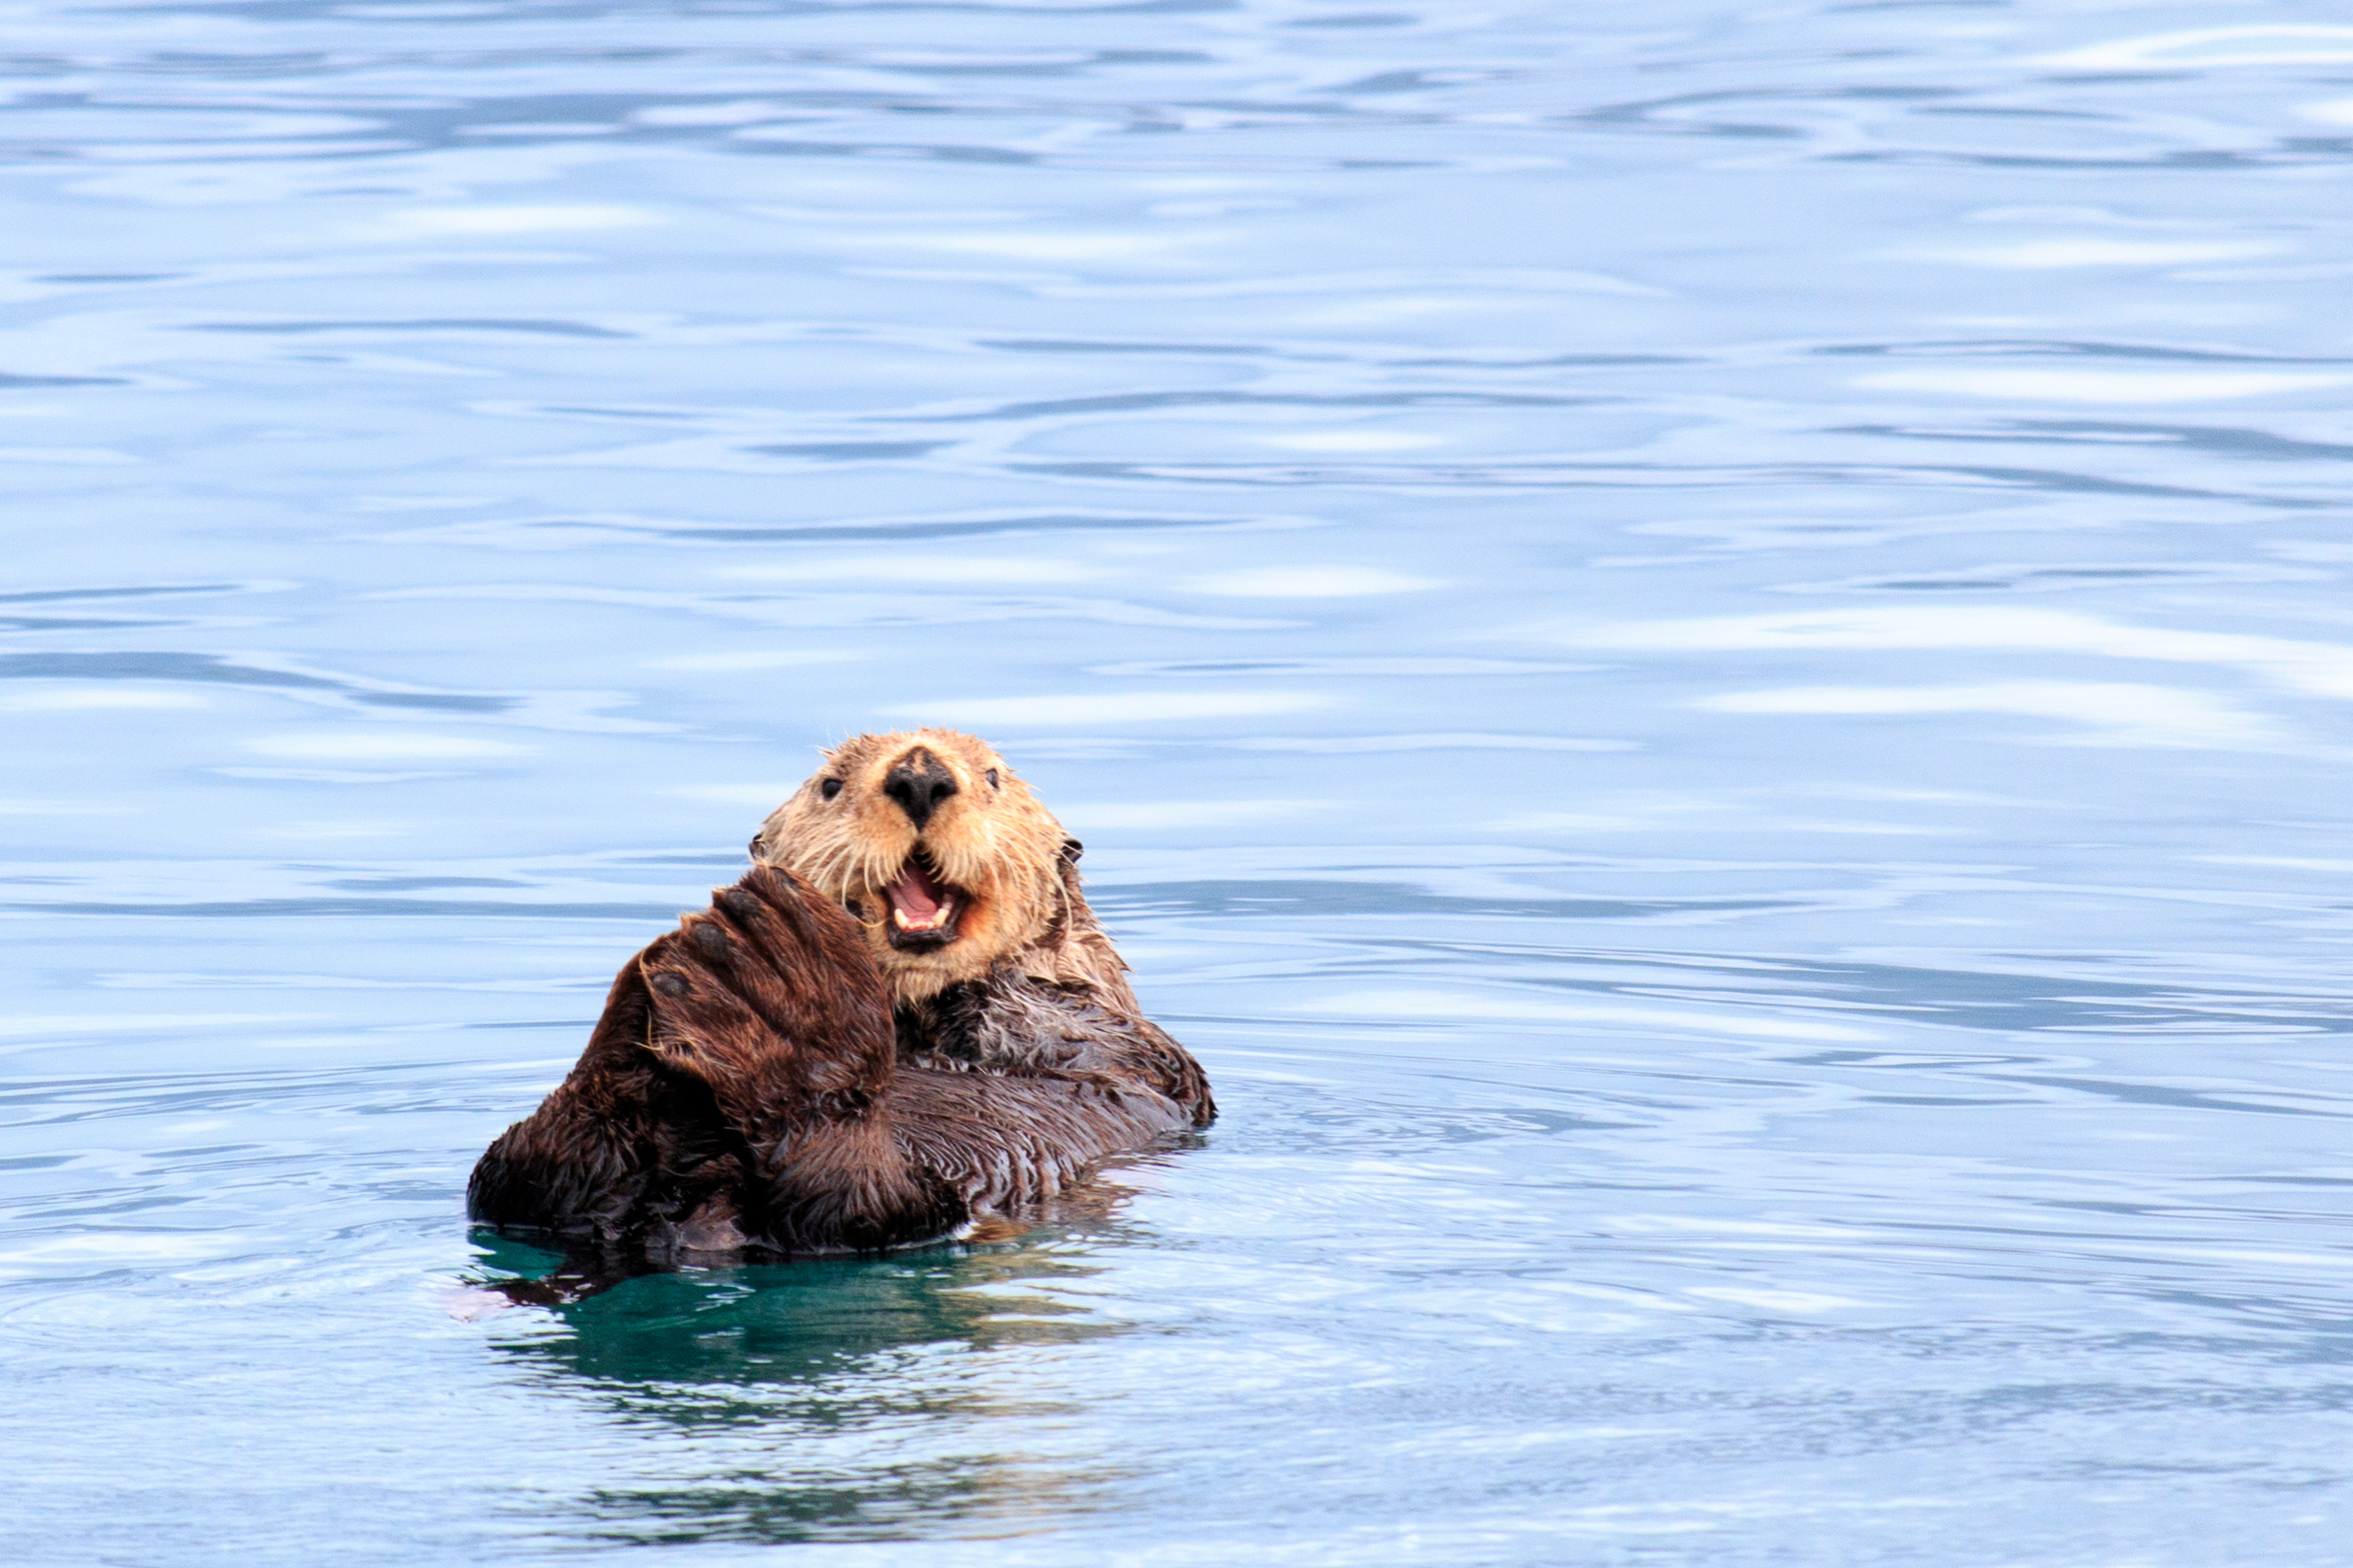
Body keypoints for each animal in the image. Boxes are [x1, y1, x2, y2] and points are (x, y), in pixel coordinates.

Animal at [470, 725, 1223, 1290]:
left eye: (994, 777)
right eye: (831, 785)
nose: (919, 774)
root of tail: (692, 1222)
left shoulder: (1110, 1032)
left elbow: (1058, 1031)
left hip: (893, 1200)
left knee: (845, 1192)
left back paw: (785, 999)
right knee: (529, 1176)